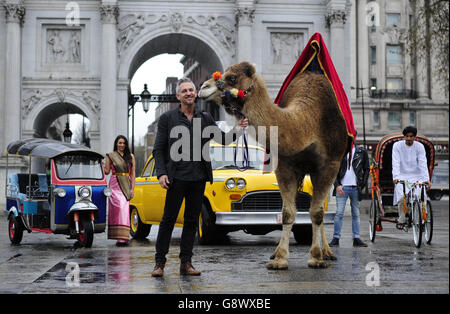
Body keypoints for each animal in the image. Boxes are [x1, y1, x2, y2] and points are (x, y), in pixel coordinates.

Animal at [198, 62, 348, 270]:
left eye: (232, 78)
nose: (203, 88)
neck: (308, 123)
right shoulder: (284, 166)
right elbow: (287, 213)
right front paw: (280, 259)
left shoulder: (330, 165)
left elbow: (317, 213)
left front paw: (316, 258)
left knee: (321, 210)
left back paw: (327, 252)